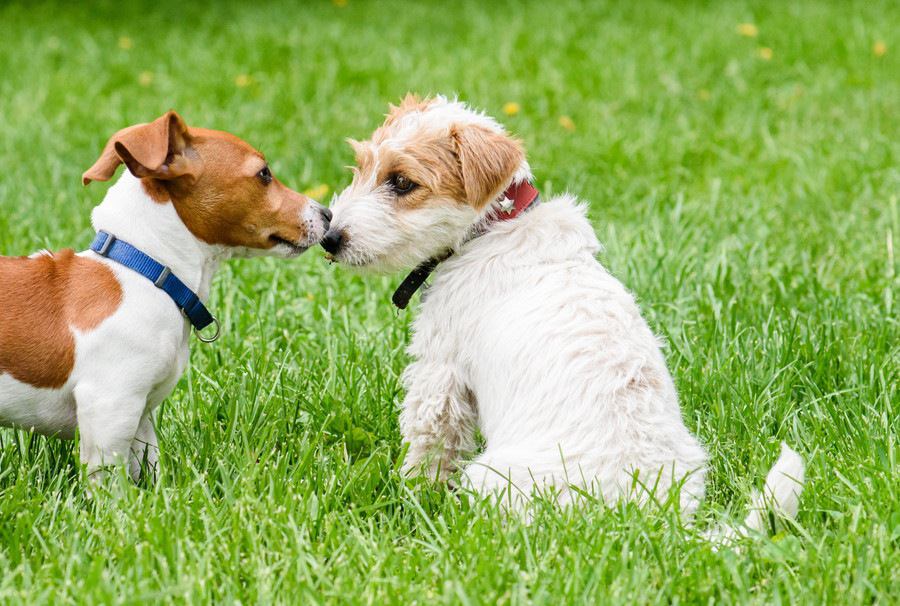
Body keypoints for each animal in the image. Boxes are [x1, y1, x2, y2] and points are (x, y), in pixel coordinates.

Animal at [0, 111, 330, 482]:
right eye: (264, 174)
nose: (328, 214)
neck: (147, 272)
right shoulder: (110, 408)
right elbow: (110, 482)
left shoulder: (140, 416)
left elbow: (149, 467)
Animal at [322, 95, 800, 536]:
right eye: (361, 167)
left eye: (402, 183)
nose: (329, 238)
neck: (494, 227)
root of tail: (654, 523)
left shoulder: (440, 373)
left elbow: (428, 446)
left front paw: (410, 495)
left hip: (494, 479)